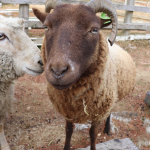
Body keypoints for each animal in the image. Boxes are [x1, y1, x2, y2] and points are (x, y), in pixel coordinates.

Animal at [32, 0, 136, 149]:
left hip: (111, 97)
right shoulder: (68, 111)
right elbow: (68, 130)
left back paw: (107, 128)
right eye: (46, 27)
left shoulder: (99, 112)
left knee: (110, 112)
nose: (58, 71)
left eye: (94, 30)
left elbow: (93, 134)